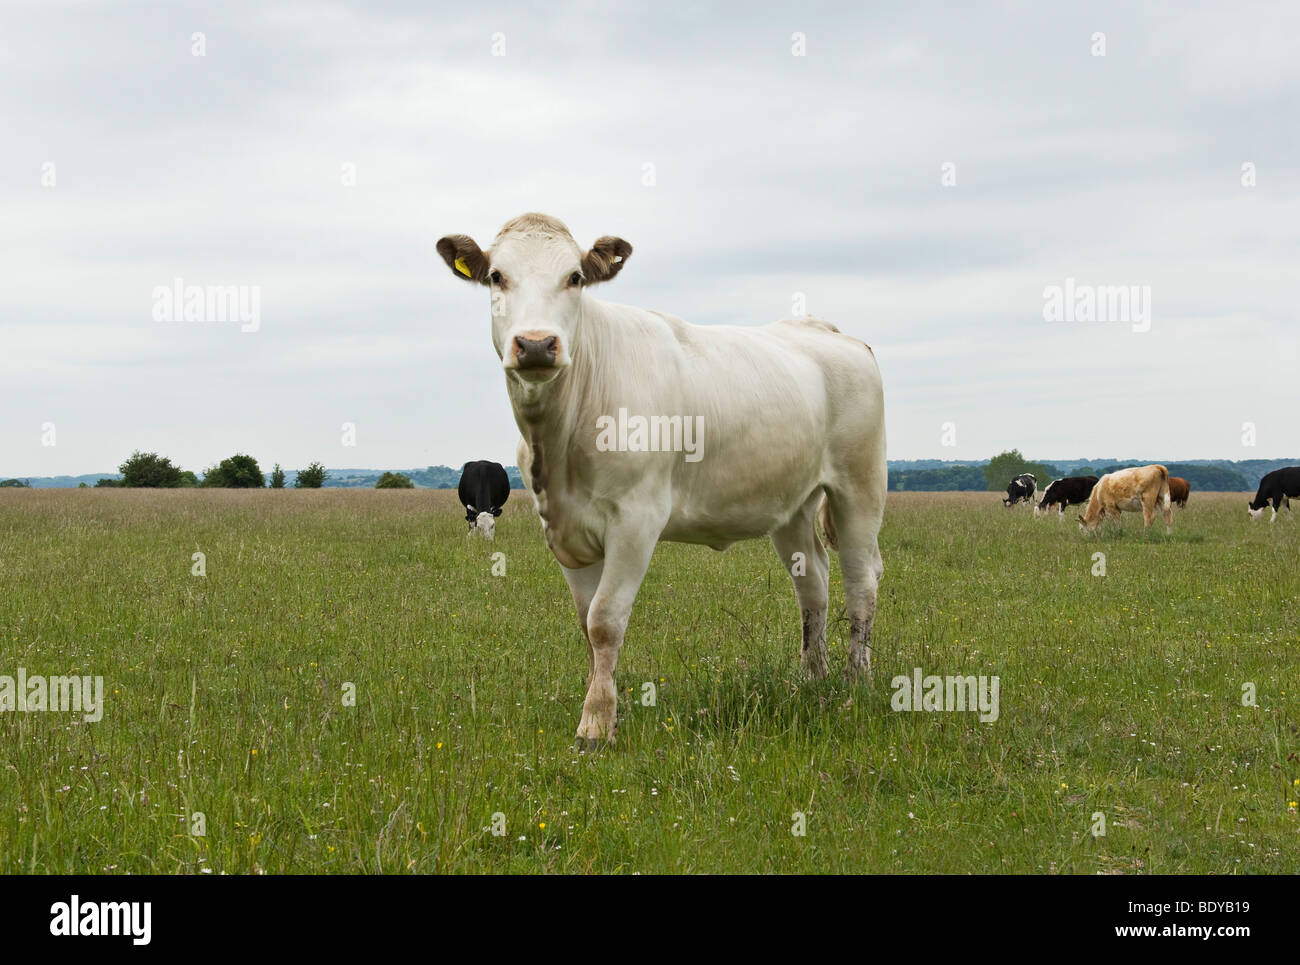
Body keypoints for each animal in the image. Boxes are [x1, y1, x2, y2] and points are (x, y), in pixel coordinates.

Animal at [434, 215, 883, 754]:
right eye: (497, 276)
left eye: (575, 277)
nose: (538, 344)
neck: (560, 442)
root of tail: (824, 329)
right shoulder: (564, 531)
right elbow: (586, 624)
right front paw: (602, 709)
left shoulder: (636, 519)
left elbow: (605, 621)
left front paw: (594, 727)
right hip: (791, 504)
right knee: (812, 581)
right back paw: (811, 678)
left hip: (860, 486)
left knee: (860, 581)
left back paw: (856, 682)